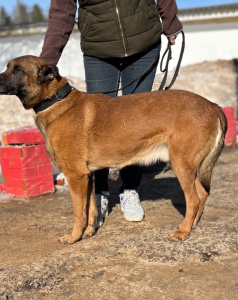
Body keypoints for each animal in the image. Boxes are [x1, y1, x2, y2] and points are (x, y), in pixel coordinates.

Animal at [0, 55, 227, 244]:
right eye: (8, 67)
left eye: (18, 69)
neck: (55, 101)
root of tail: (213, 106)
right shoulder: (88, 176)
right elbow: (91, 208)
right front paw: (89, 231)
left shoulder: (76, 176)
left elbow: (78, 212)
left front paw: (74, 237)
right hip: (187, 165)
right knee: (202, 194)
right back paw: (191, 225)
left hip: (181, 164)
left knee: (194, 199)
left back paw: (183, 231)